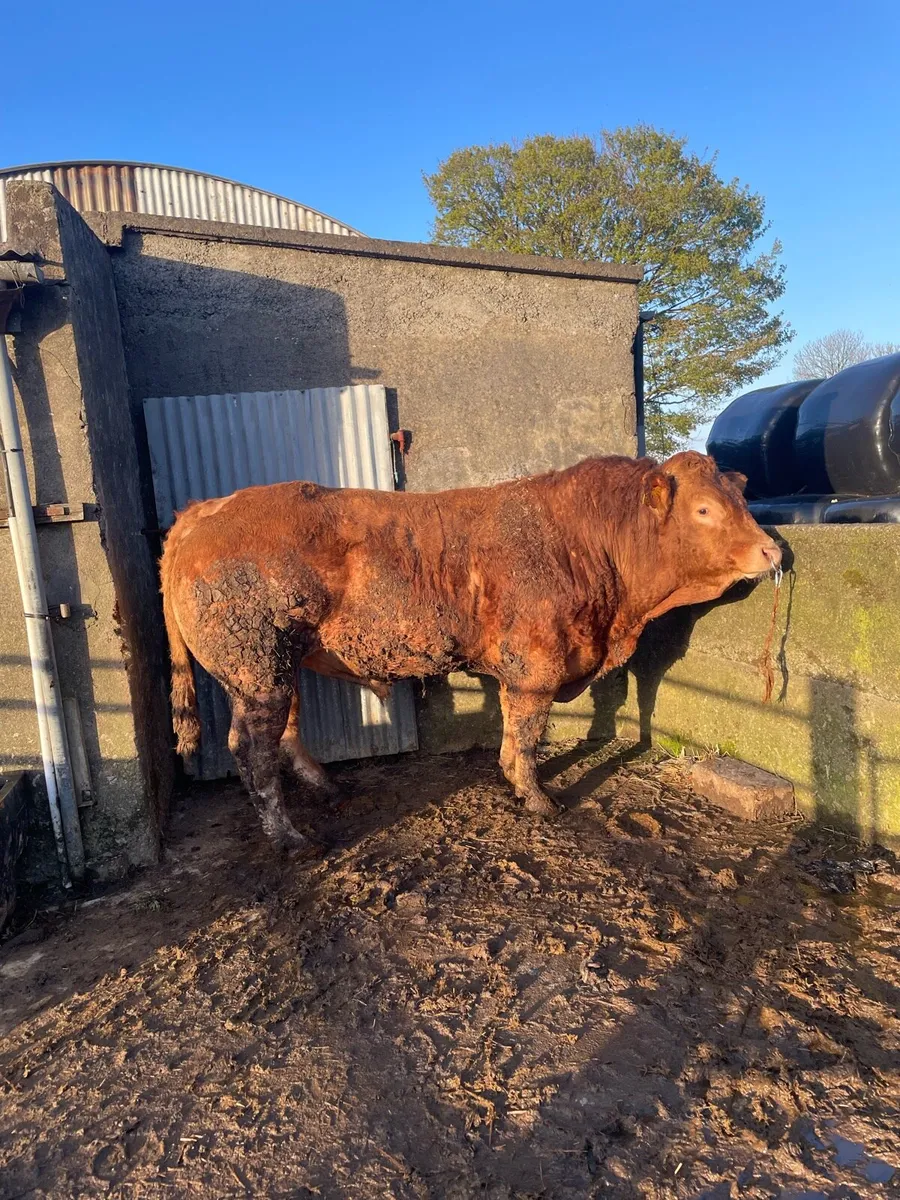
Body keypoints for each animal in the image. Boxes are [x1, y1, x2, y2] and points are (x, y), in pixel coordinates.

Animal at [160, 451, 781, 853]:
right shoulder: (536, 664)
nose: (772, 548)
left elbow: (513, 728)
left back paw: (327, 788)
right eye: (704, 510)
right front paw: (537, 798)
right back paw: (289, 837)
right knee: (251, 750)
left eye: (741, 497)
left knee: (285, 732)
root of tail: (204, 509)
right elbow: (528, 733)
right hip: (254, 666)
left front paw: (511, 777)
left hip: (275, 665)